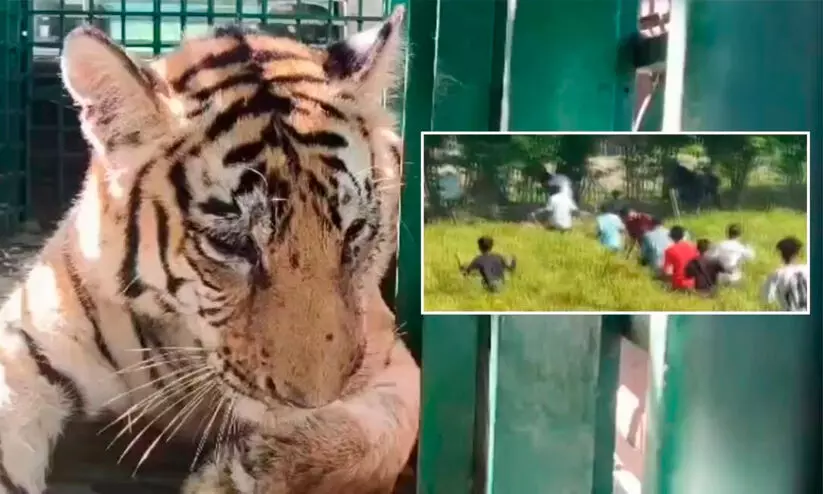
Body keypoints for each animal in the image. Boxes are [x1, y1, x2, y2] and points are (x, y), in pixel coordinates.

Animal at [0, 5, 417, 494]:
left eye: (354, 231)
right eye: (230, 243)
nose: (311, 400)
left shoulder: (391, 362)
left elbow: (376, 440)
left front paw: (237, 473)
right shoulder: (28, 343)